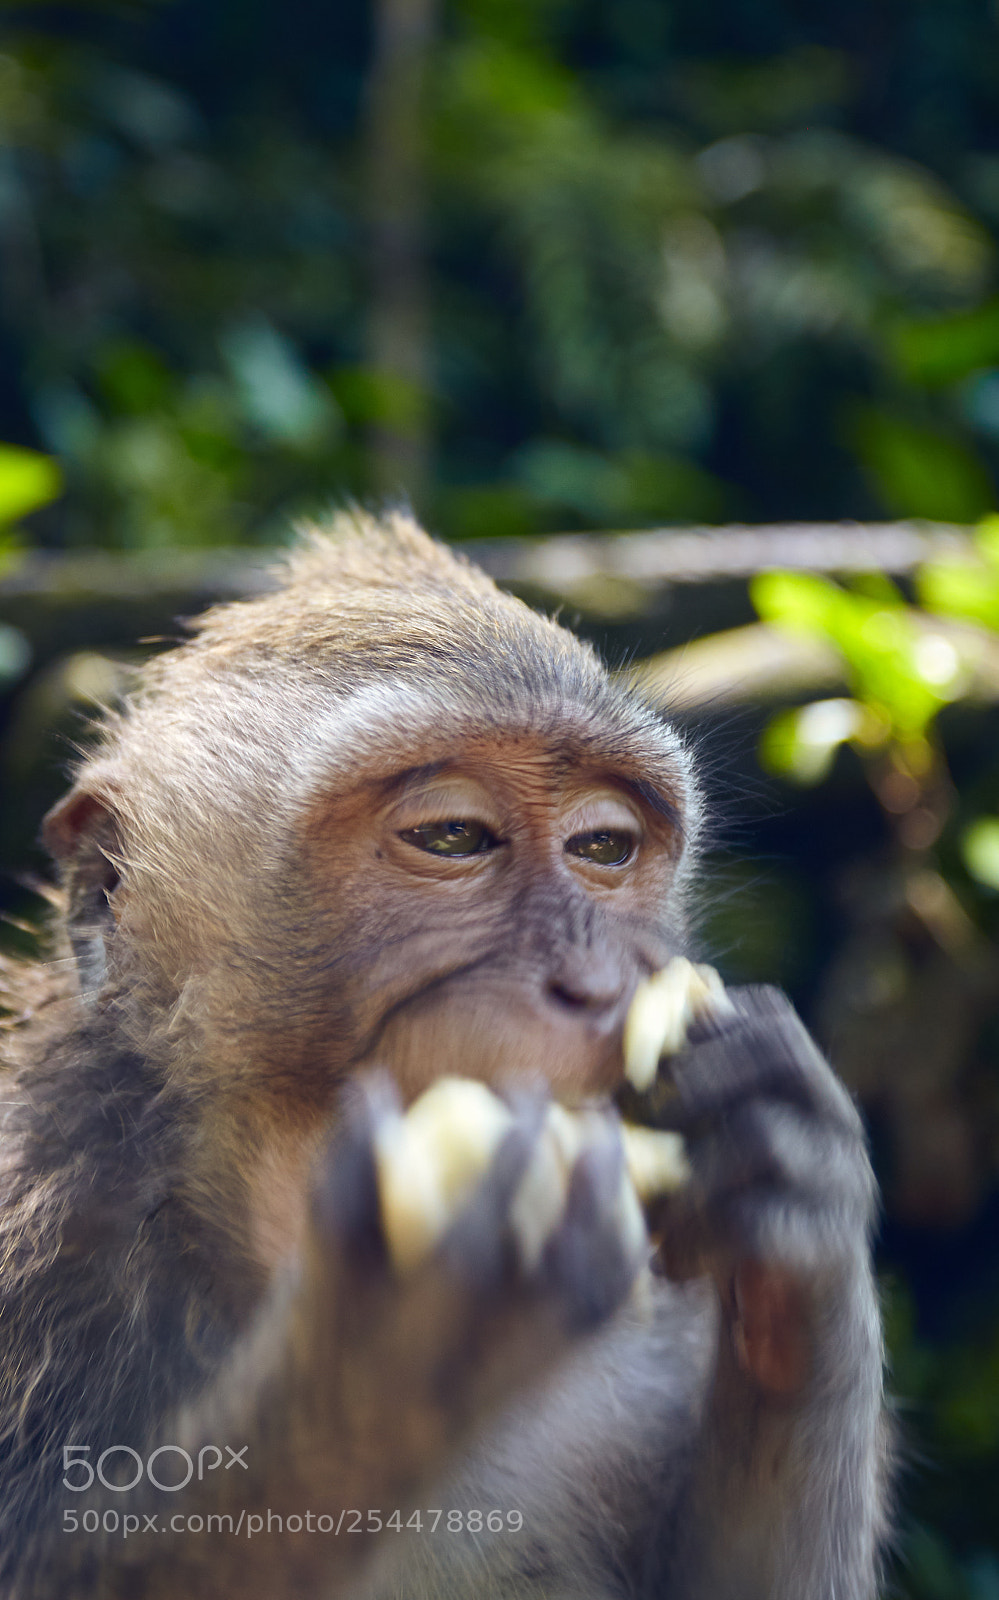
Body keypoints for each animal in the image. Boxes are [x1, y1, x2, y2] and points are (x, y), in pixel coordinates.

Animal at [0, 510, 888, 1600]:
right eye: (454, 836)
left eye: (602, 847)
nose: (592, 985)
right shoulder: (45, 1204)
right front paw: (382, 1367)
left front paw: (793, 1172)